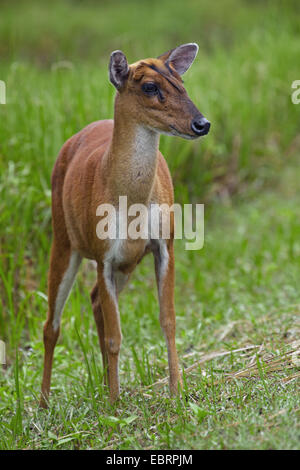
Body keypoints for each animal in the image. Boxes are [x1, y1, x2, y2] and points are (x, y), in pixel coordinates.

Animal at [38, 43, 210, 408]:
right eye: (150, 87)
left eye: (181, 82)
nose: (202, 123)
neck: (130, 203)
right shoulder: (104, 255)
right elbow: (116, 336)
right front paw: (116, 405)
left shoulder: (164, 244)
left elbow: (168, 320)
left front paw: (177, 391)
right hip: (63, 239)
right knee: (52, 324)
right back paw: (44, 402)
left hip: (127, 264)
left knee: (94, 301)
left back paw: (105, 383)